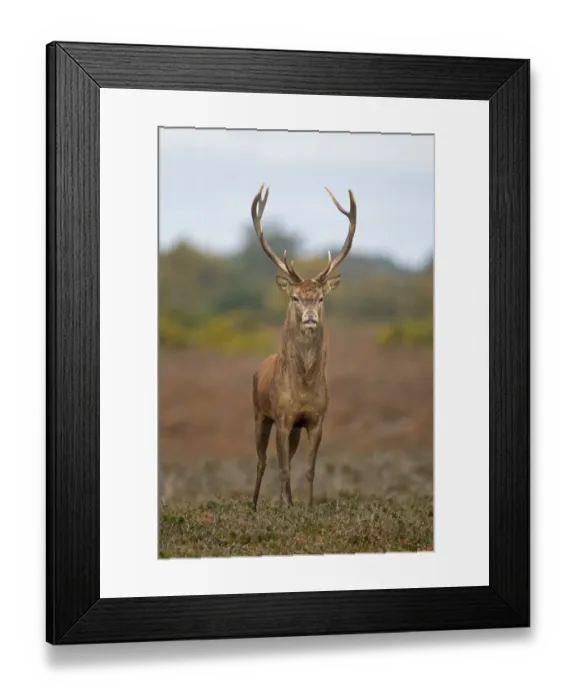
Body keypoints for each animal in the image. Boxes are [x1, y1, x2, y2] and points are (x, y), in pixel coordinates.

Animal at [250, 183, 357, 510]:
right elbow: (283, 468)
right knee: (262, 461)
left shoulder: (315, 419)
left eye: (320, 298)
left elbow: (308, 468)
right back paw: (255, 505)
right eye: (295, 297)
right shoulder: (282, 417)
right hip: (259, 414)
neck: (304, 388)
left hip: (292, 428)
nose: (310, 317)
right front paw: (286, 507)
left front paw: (307, 508)